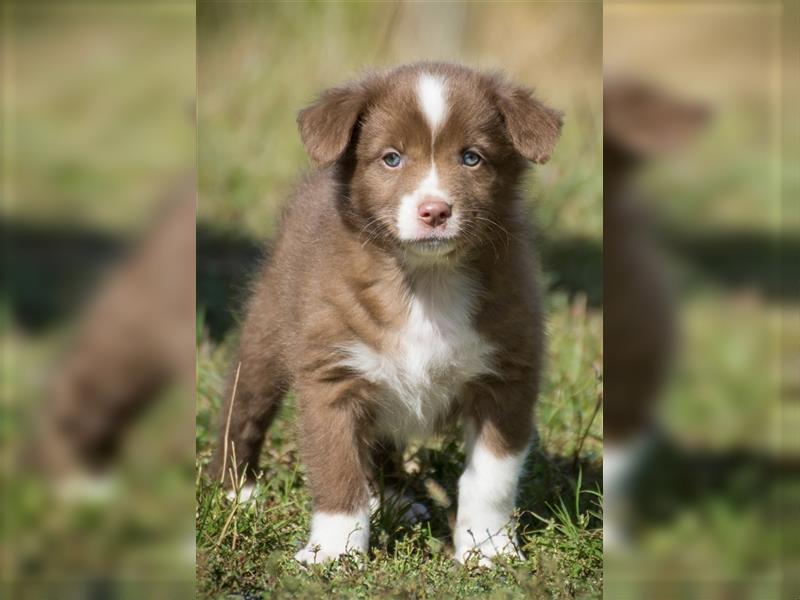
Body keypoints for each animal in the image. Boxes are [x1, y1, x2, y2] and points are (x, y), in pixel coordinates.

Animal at [212, 63, 564, 564]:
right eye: (391, 159)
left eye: (472, 158)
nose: (435, 210)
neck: (426, 282)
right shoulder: (331, 375)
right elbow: (336, 470)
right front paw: (334, 553)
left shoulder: (508, 375)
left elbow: (491, 480)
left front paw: (488, 550)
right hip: (268, 328)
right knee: (243, 407)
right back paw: (235, 492)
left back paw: (394, 500)